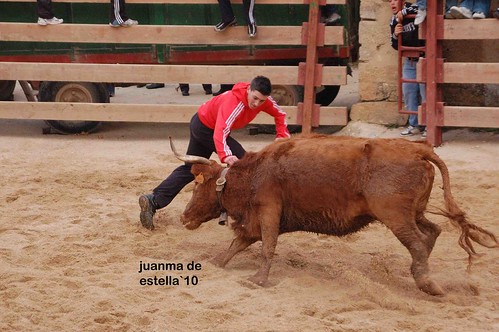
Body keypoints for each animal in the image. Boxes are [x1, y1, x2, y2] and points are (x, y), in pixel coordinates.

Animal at [171, 135, 496, 296]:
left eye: (196, 185)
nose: (184, 218)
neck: (254, 172)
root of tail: (418, 151)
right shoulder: (257, 219)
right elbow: (236, 245)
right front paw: (215, 264)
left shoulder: (267, 209)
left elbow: (267, 246)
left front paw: (258, 280)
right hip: (413, 213)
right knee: (431, 233)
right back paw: (419, 275)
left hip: (396, 216)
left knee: (417, 241)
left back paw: (427, 284)